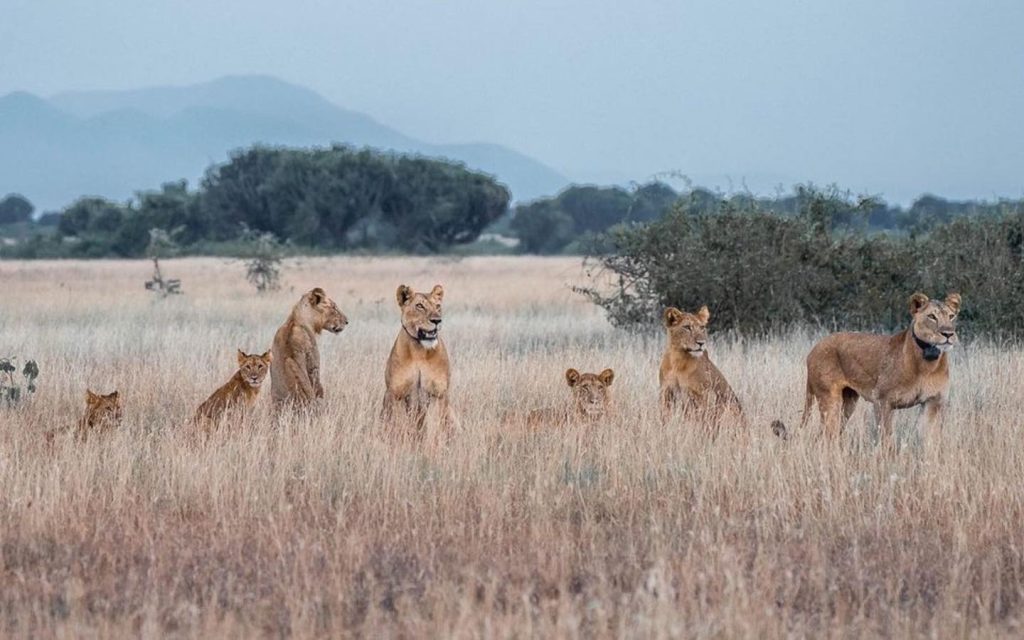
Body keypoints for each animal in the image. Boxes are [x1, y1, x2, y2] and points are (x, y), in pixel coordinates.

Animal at [382, 284, 455, 433]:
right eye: (420, 306)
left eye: (438, 306)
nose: (437, 320)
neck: (419, 352)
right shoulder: (396, 393)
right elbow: (397, 424)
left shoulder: (437, 394)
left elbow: (434, 427)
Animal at [783, 292, 961, 447]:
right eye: (932, 316)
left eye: (951, 316)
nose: (948, 334)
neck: (927, 361)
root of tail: (813, 349)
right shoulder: (883, 401)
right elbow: (886, 439)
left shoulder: (933, 402)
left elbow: (931, 442)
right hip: (829, 399)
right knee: (826, 435)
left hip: (848, 402)